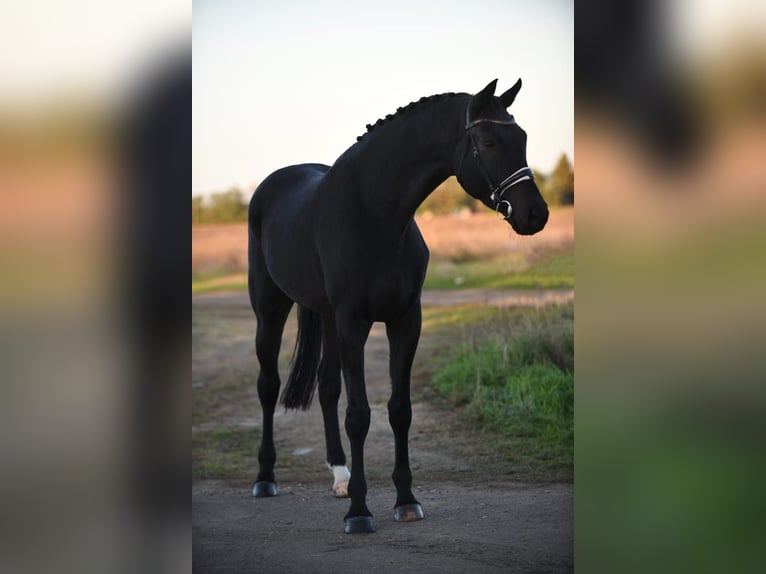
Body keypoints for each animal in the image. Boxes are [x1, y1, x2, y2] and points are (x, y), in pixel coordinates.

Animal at [249, 79, 548, 532]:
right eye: (490, 142)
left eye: (524, 138)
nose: (536, 214)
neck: (376, 214)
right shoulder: (355, 322)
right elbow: (359, 416)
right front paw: (360, 513)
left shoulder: (405, 321)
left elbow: (399, 410)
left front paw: (406, 500)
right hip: (271, 309)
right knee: (269, 387)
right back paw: (265, 478)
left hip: (328, 318)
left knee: (327, 387)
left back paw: (340, 476)